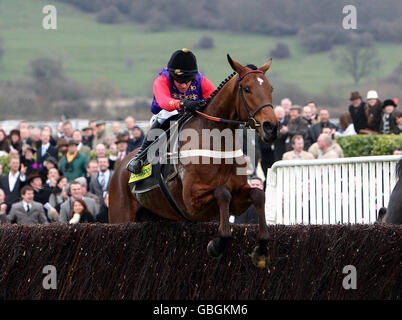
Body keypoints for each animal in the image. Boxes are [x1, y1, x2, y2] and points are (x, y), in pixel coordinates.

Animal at [108, 55, 278, 268]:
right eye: (247, 89)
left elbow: (258, 195)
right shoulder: (191, 201)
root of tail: (119, 168)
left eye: (271, 88)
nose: (271, 127)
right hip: (120, 216)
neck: (216, 142)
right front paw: (217, 243)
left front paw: (261, 249)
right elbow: (222, 193)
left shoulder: (239, 197)